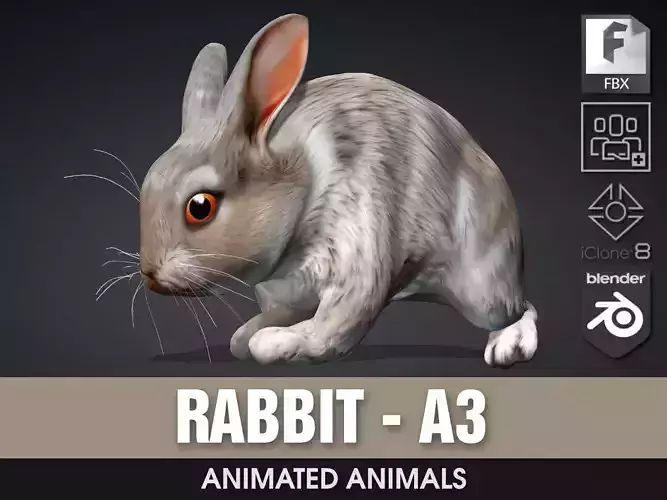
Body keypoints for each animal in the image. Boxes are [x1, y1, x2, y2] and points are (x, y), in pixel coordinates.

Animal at [139, 13, 538, 367]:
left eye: (200, 206)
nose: (150, 274)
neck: (303, 190)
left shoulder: (356, 255)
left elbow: (329, 329)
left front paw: (277, 343)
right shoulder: (288, 295)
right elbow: (256, 330)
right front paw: (246, 336)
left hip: (480, 283)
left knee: (519, 309)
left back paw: (509, 347)